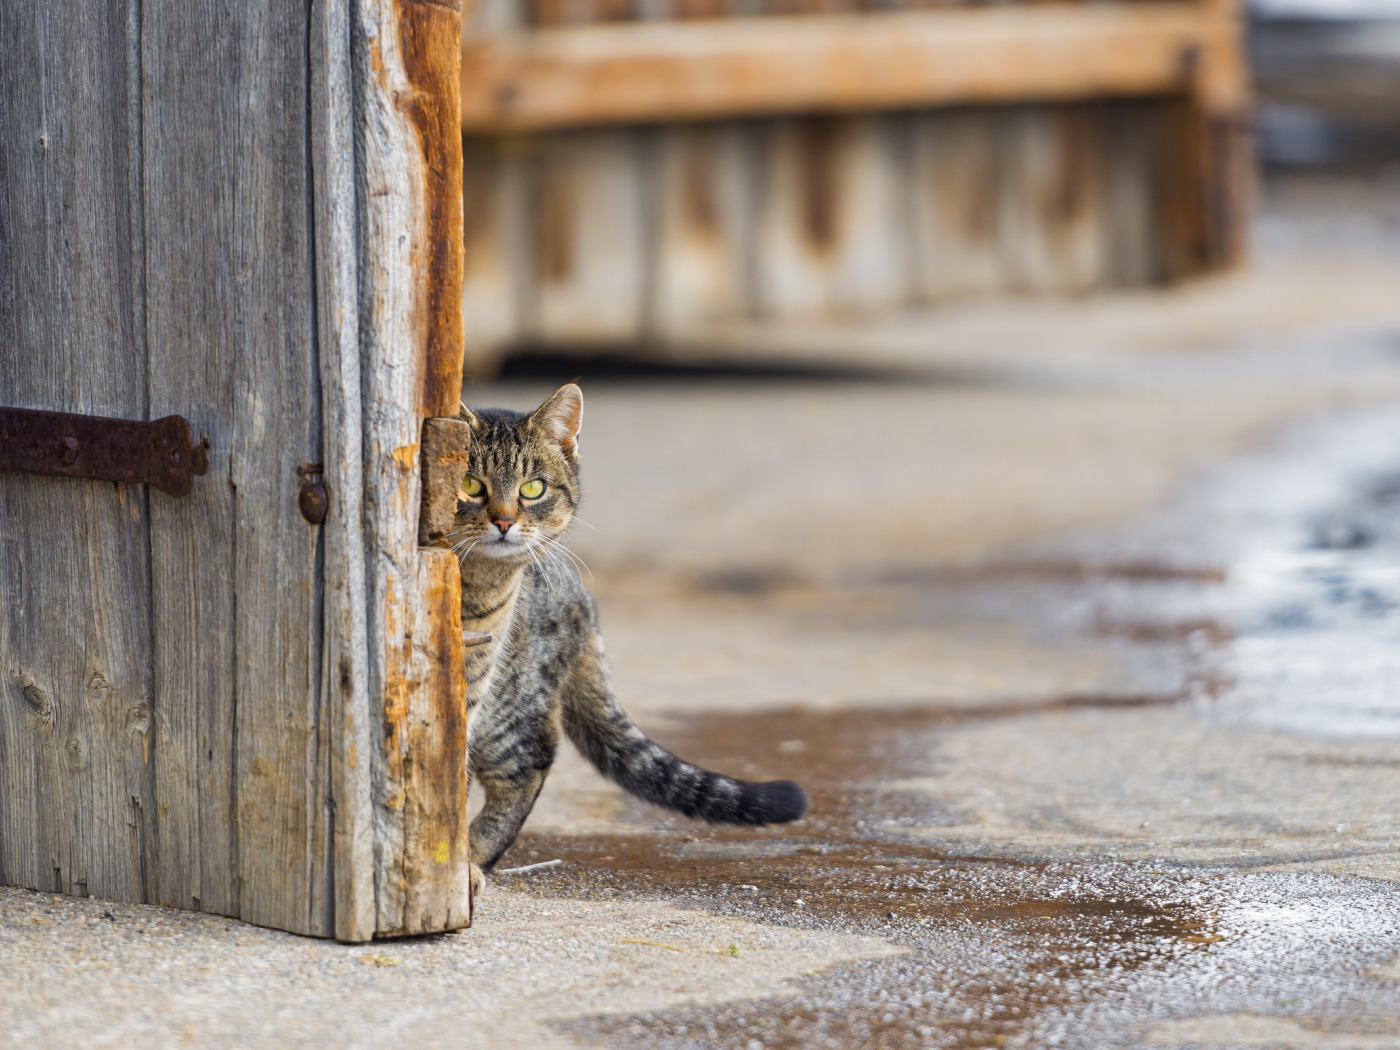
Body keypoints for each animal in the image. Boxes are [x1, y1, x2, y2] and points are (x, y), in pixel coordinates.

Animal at [453, 383, 812, 884]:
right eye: (470, 485)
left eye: (532, 488)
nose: (504, 522)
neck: (478, 587)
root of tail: (583, 597)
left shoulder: (475, 683)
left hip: (511, 705)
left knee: (531, 762)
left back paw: (475, 857)